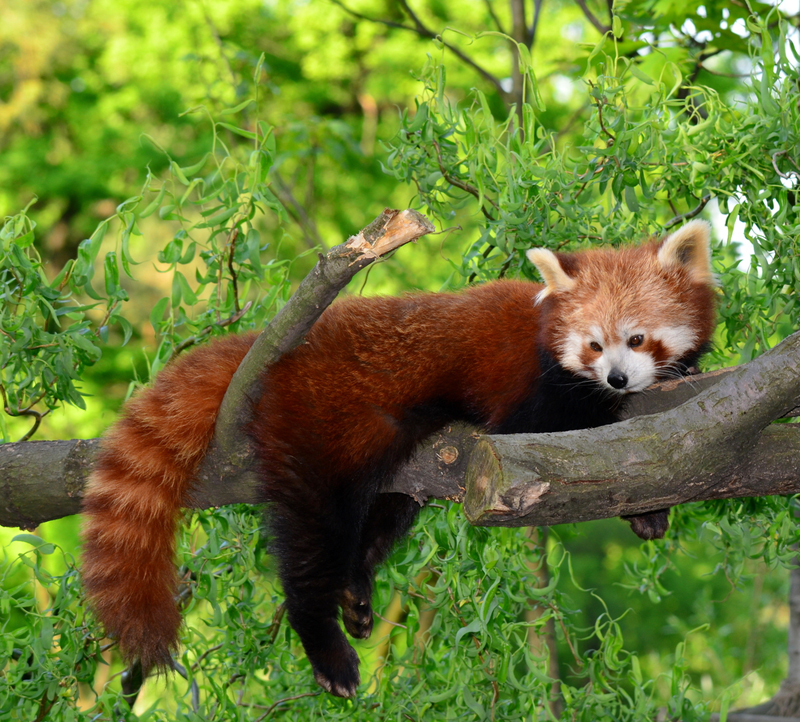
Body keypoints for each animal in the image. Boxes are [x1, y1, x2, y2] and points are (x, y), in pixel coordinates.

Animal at [83, 221, 720, 696]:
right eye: (593, 344)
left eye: (636, 339)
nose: (616, 378)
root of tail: (278, 348)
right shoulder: (530, 393)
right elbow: (563, 437)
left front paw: (650, 507)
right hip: (322, 425)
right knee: (313, 532)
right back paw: (326, 640)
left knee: (382, 514)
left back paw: (357, 588)